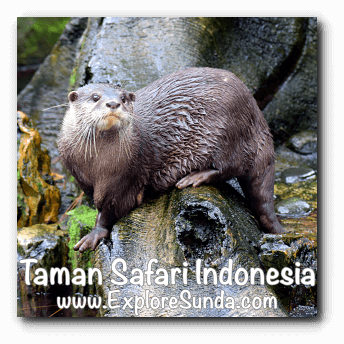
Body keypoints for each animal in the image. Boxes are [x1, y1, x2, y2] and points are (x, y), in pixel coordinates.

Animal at [58, 68, 284, 254]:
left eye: (123, 98)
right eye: (95, 97)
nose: (113, 103)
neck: (96, 164)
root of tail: (258, 119)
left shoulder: (124, 180)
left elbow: (110, 210)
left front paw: (94, 233)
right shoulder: (81, 178)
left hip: (228, 131)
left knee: (229, 167)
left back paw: (195, 177)